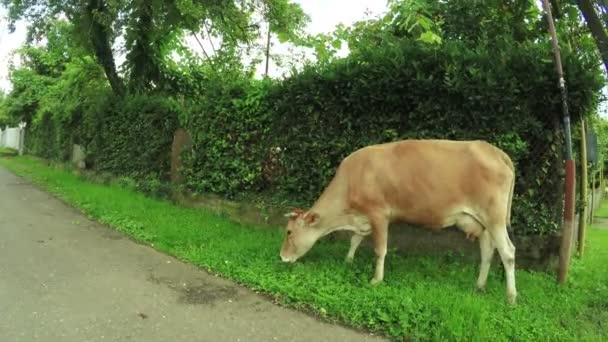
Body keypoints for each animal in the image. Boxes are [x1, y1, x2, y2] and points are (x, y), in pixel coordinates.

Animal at [280, 139, 516, 304]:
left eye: (289, 232)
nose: (282, 257)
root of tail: (493, 150)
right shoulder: (364, 218)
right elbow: (355, 240)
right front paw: (348, 261)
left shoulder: (379, 214)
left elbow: (380, 249)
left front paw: (376, 280)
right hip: (482, 223)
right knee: (487, 251)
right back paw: (480, 286)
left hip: (494, 217)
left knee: (508, 252)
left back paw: (511, 297)